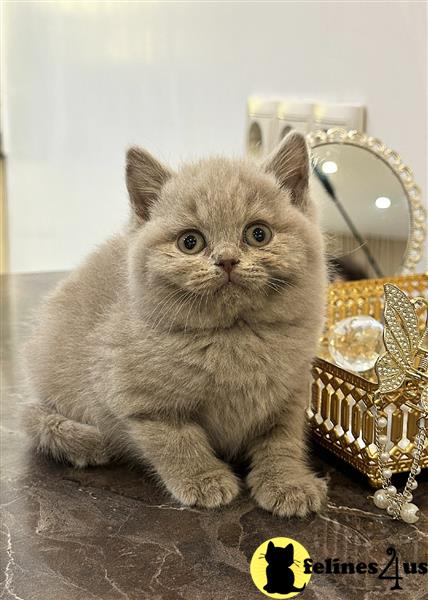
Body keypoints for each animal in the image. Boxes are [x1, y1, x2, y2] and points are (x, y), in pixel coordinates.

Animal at [23, 131, 328, 516]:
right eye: (190, 242)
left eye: (258, 234)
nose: (227, 260)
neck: (234, 336)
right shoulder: (138, 399)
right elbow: (176, 441)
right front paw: (203, 480)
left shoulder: (292, 393)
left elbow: (282, 441)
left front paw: (288, 483)